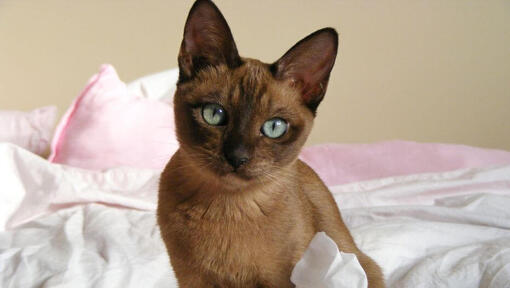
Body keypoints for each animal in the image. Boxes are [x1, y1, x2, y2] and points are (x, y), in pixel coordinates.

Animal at [157, 1, 384, 286]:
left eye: (274, 127)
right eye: (213, 114)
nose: (237, 157)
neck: (228, 206)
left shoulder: (279, 279)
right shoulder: (192, 279)